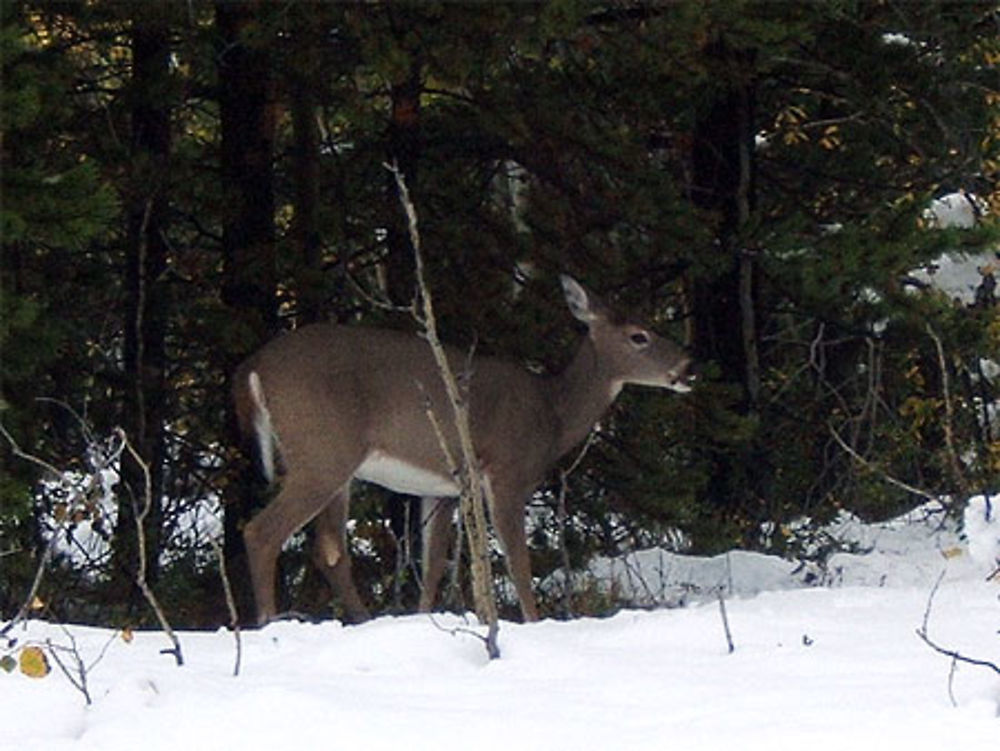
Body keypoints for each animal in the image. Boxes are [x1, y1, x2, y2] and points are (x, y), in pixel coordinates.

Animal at [231, 274, 692, 624]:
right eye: (639, 336)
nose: (689, 366)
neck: (552, 415)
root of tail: (253, 368)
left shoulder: (444, 488)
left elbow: (433, 563)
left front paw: (422, 619)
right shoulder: (506, 471)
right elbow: (518, 563)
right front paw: (533, 622)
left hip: (328, 462)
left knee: (329, 550)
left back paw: (360, 621)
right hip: (322, 453)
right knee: (261, 532)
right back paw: (268, 621)